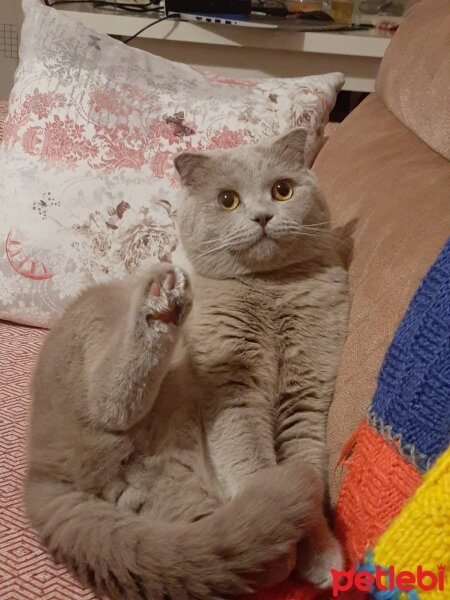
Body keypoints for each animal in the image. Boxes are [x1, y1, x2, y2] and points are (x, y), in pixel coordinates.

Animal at [23, 129, 348, 596]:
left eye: (282, 190)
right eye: (228, 199)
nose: (263, 216)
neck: (271, 292)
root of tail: (42, 469)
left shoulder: (306, 396)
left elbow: (306, 459)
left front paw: (319, 553)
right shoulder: (233, 394)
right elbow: (250, 459)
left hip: (169, 496)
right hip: (98, 315)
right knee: (111, 400)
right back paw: (160, 304)